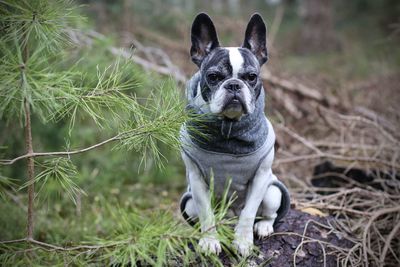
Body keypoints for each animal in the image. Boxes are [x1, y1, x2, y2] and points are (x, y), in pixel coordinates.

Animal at [180, 12, 290, 258]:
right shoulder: (196, 179)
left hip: (272, 192)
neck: (229, 127)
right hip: (189, 204)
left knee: (267, 213)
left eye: (251, 77)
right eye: (213, 77)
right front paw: (209, 240)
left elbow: (249, 212)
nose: (233, 85)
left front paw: (243, 241)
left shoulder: (261, 177)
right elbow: (206, 213)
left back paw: (263, 226)